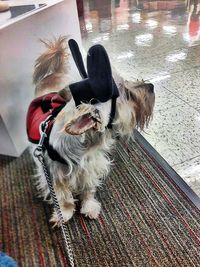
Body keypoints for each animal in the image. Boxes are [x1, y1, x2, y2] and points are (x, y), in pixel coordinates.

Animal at [27, 37, 155, 226]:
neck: (87, 145)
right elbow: (63, 197)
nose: (152, 86)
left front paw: (89, 206)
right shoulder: (53, 175)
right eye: (128, 94)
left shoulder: (90, 168)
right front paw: (63, 213)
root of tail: (53, 74)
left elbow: (88, 189)